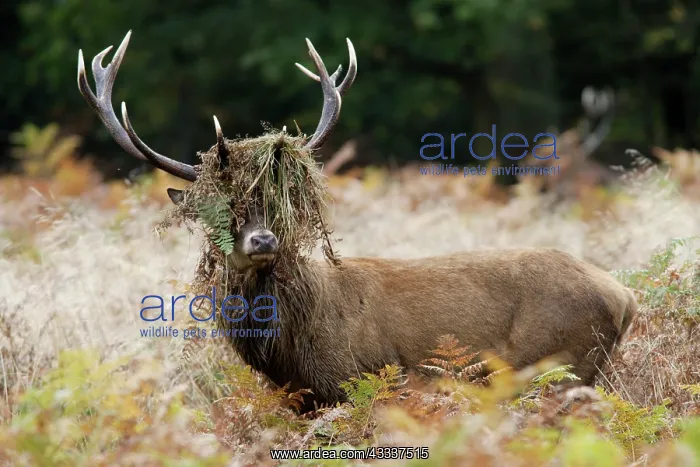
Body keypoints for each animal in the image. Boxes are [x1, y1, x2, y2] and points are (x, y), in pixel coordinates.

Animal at [77, 31, 637, 411]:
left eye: (282, 201)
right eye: (224, 207)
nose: (262, 239)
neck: (290, 355)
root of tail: (625, 296)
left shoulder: (359, 382)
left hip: (557, 362)